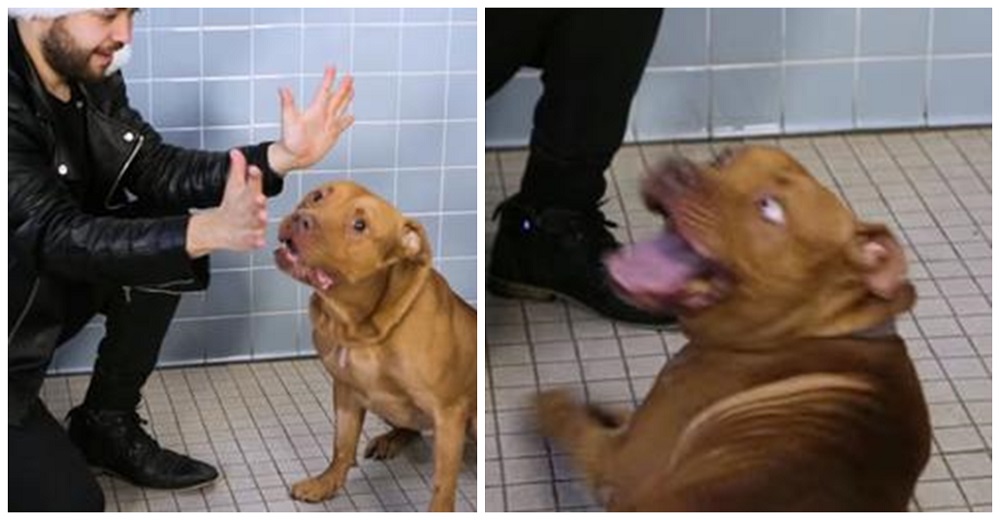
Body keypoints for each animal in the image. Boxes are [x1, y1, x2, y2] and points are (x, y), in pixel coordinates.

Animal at [274, 181, 476, 510]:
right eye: (317, 196)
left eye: (360, 225)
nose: (303, 218)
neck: (359, 325)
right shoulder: (345, 391)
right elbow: (342, 445)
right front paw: (327, 482)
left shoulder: (449, 412)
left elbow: (443, 482)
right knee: (409, 426)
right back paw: (391, 439)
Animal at [536, 146, 932, 512]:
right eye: (722, 158)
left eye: (769, 208)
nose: (678, 169)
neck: (809, 332)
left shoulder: (619, 461)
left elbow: (565, 417)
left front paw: (550, 402)